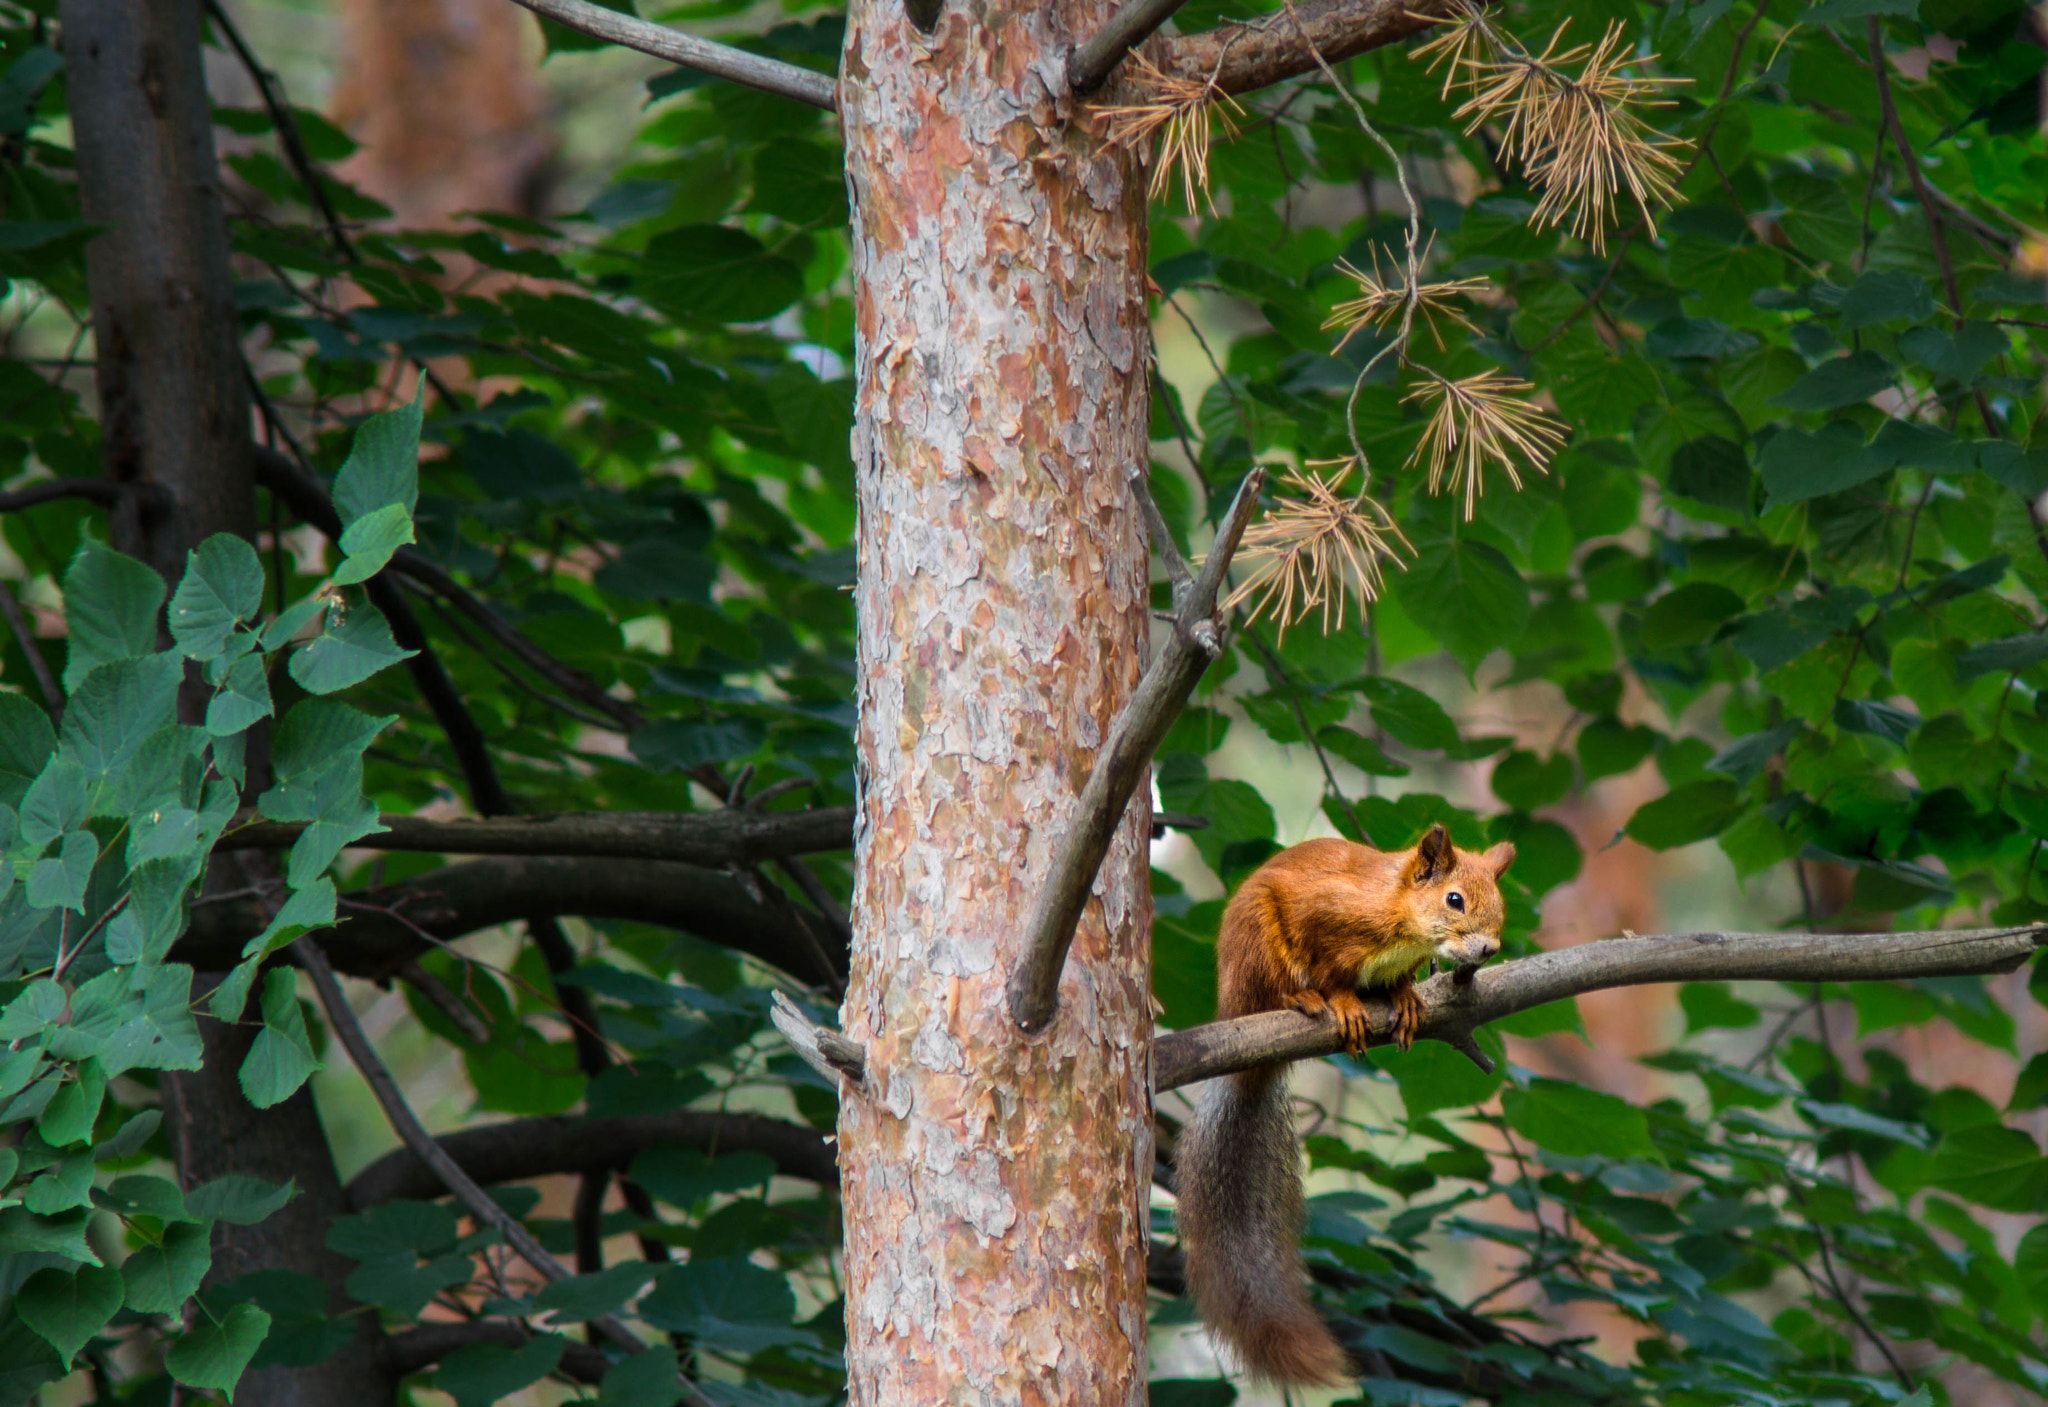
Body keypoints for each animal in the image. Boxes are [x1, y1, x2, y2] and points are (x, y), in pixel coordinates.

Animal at [1179, 827, 1515, 1384]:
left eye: (1500, 902)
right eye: (1454, 899)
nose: (1488, 949)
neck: (1401, 923)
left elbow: (1397, 983)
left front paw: (1406, 998)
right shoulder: (1323, 916)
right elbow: (1332, 973)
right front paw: (1342, 1002)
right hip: (1257, 945)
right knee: (1273, 989)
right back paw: (1300, 1000)